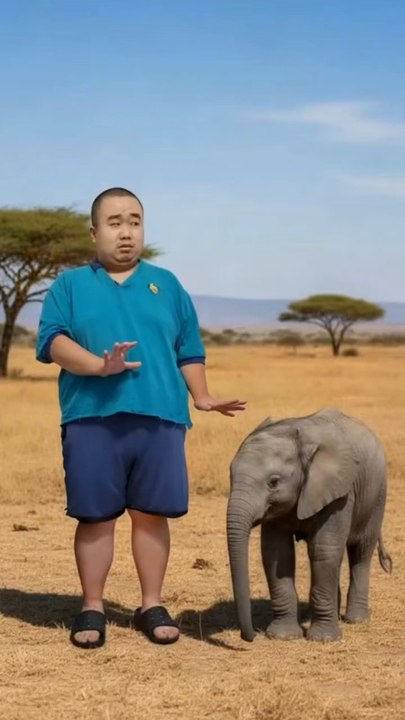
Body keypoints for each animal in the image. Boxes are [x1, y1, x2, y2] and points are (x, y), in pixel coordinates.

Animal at [227, 408, 392, 642]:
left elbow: (324, 550)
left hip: (377, 494)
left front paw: (323, 639)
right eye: (230, 476)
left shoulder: (340, 494)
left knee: (360, 552)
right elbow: (278, 554)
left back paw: (356, 620)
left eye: (273, 482)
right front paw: (282, 636)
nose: (249, 637)